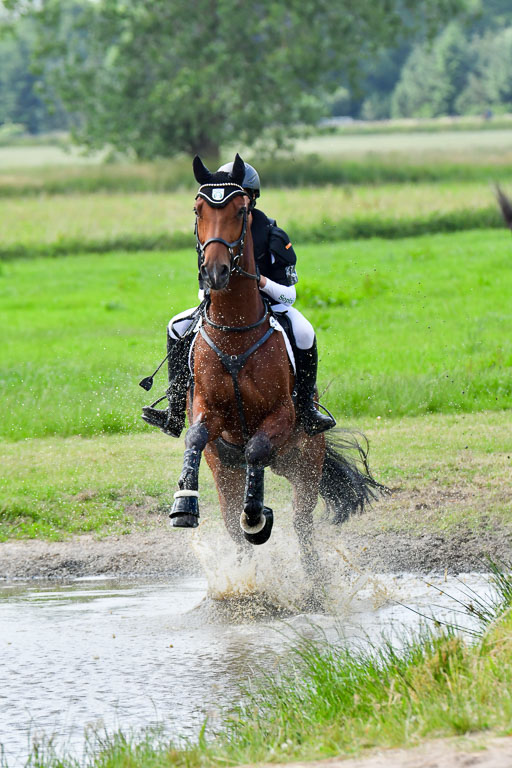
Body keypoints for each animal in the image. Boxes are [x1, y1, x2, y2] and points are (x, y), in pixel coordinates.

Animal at [169, 153, 384, 577]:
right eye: (198, 209)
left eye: (239, 211)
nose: (215, 272)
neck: (235, 332)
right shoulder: (205, 409)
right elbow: (195, 437)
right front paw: (184, 503)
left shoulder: (281, 416)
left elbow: (256, 449)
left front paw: (258, 516)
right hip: (227, 471)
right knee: (233, 525)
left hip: (305, 463)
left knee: (302, 526)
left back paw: (313, 580)